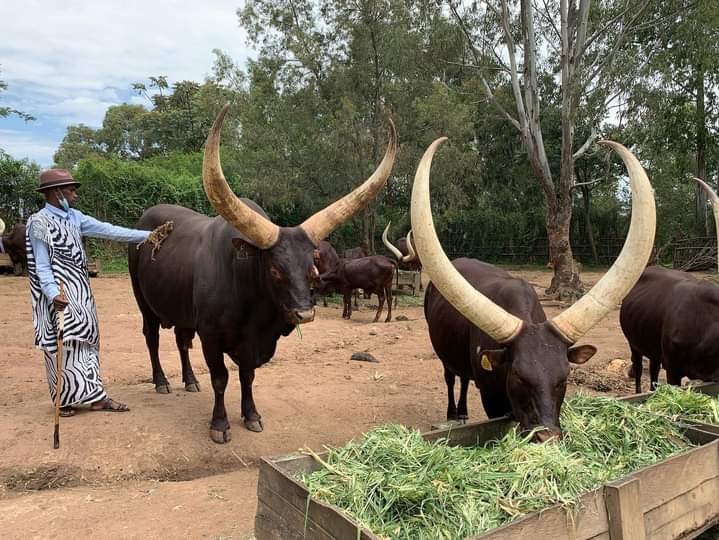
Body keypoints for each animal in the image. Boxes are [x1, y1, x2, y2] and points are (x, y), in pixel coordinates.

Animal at [129, 105, 400, 442]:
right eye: (275, 269)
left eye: (311, 267)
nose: (304, 314)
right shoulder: (211, 335)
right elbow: (220, 378)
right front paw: (220, 425)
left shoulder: (249, 343)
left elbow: (247, 376)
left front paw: (251, 415)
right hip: (144, 302)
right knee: (152, 338)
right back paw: (162, 381)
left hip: (181, 310)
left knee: (181, 340)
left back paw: (190, 380)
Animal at [410, 137, 660, 440]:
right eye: (519, 375)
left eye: (564, 377)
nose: (547, 436)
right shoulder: (492, 399)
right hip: (444, 355)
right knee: (451, 378)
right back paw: (454, 414)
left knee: (464, 380)